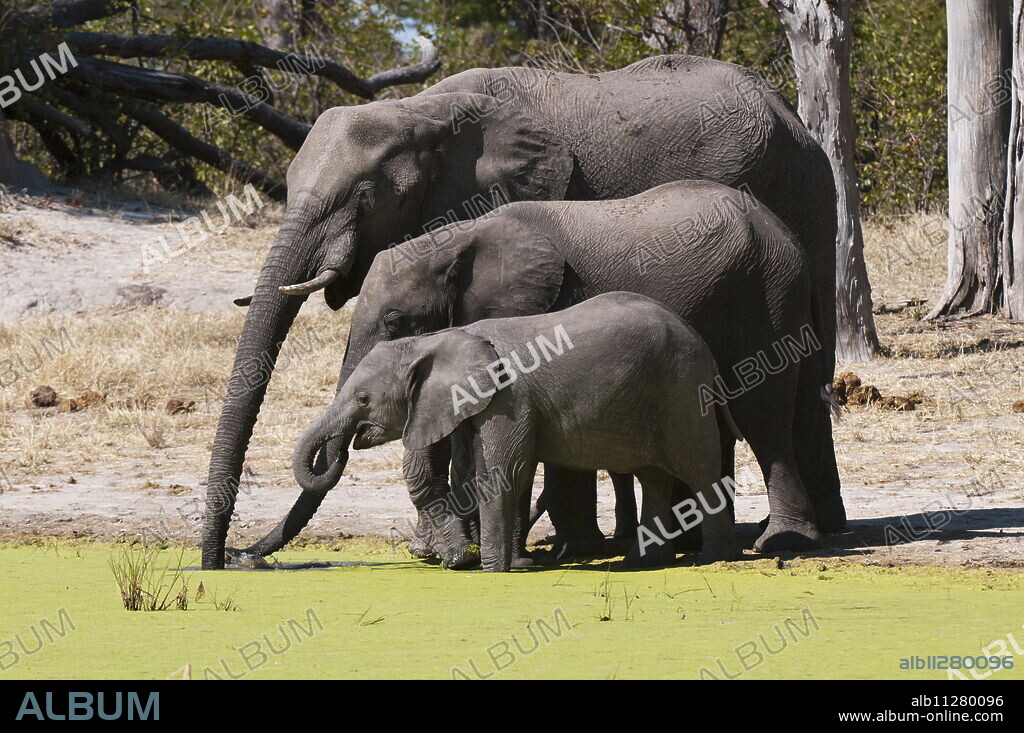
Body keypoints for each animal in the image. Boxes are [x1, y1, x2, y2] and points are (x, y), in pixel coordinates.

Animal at [293, 292, 744, 571]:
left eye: (363, 398)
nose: (347, 445)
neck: (434, 342)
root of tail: (705, 348)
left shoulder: (506, 398)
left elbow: (501, 474)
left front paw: (491, 570)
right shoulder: (481, 403)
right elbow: (505, 474)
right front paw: (509, 564)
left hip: (682, 390)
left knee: (699, 469)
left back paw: (711, 559)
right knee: (653, 476)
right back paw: (643, 562)